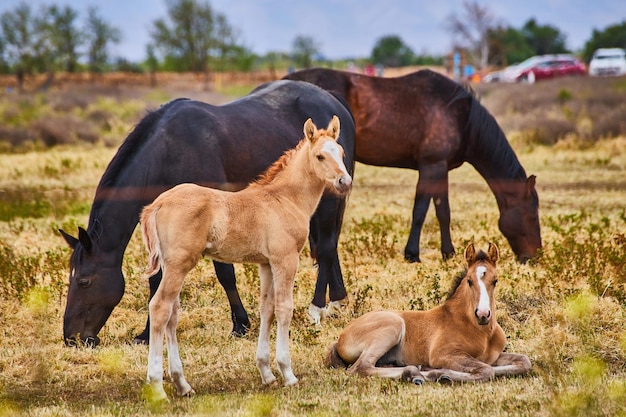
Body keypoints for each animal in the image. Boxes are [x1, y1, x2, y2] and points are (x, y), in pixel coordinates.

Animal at [59, 79, 356, 346]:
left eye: (84, 281)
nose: (71, 338)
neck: (169, 151)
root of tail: (334, 101)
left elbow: (225, 273)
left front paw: (240, 325)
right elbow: (157, 280)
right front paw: (146, 334)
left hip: (329, 199)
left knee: (326, 248)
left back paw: (317, 310)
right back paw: (336, 302)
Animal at [140, 115, 352, 398]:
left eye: (341, 153)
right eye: (319, 156)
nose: (344, 182)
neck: (285, 199)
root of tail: (158, 203)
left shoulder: (266, 264)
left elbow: (267, 309)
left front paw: (266, 373)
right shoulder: (286, 259)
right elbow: (284, 308)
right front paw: (287, 373)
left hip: (171, 266)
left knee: (172, 314)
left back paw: (182, 384)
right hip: (179, 265)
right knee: (160, 308)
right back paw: (157, 386)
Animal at [284, 68, 540, 264]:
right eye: (532, 213)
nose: (535, 255)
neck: (460, 116)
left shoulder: (441, 168)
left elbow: (443, 211)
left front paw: (448, 253)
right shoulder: (431, 166)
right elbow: (420, 211)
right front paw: (412, 254)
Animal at [324, 240, 528, 384]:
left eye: (495, 280)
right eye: (469, 280)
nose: (483, 314)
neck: (481, 331)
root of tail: (340, 338)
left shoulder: (493, 356)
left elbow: (523, 362)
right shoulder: (444, 354)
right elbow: (486, 370)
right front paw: (440, 374)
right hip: (392, 326)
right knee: (361, 367)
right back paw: (413, 373)